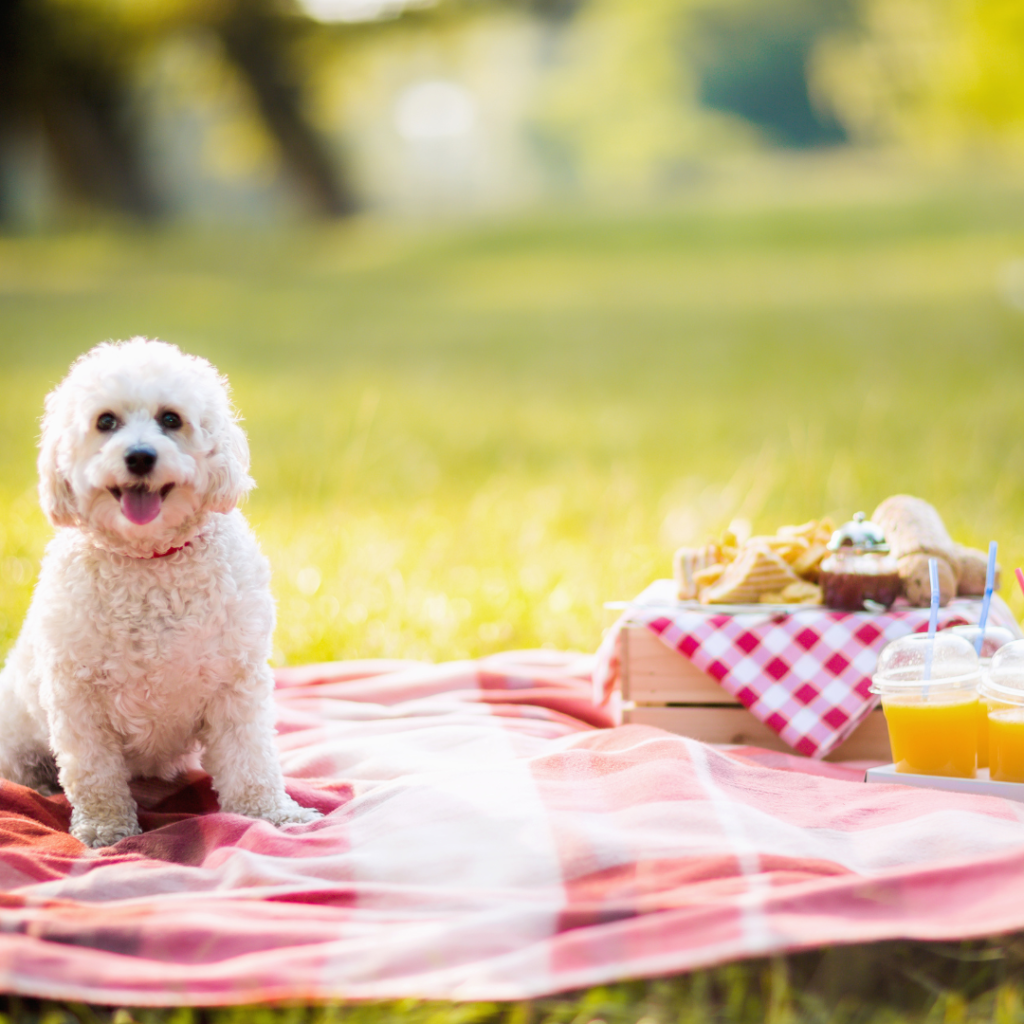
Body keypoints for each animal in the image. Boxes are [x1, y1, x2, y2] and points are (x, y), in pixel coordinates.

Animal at [0, 337, 319, 847]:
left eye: (171, 419)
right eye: (105, 421)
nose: (140, 456)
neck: (150, 561)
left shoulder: (236, 685)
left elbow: (250, 760)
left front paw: (271, 814)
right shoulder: (77, 698)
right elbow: (94, 774)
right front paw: (106, 829)